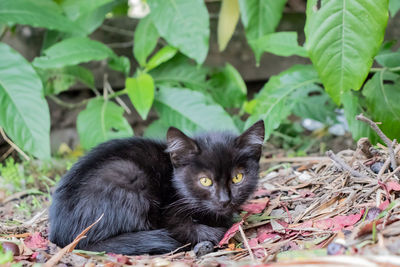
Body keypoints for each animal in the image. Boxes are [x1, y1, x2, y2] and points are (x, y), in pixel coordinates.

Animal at [48, 121, 264, 255]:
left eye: (237, 178)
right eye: (205, 181)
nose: (224, 200)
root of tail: (61, 237)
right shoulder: (168, 214)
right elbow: (194, 229)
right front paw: (219, 230)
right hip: (128, 175)